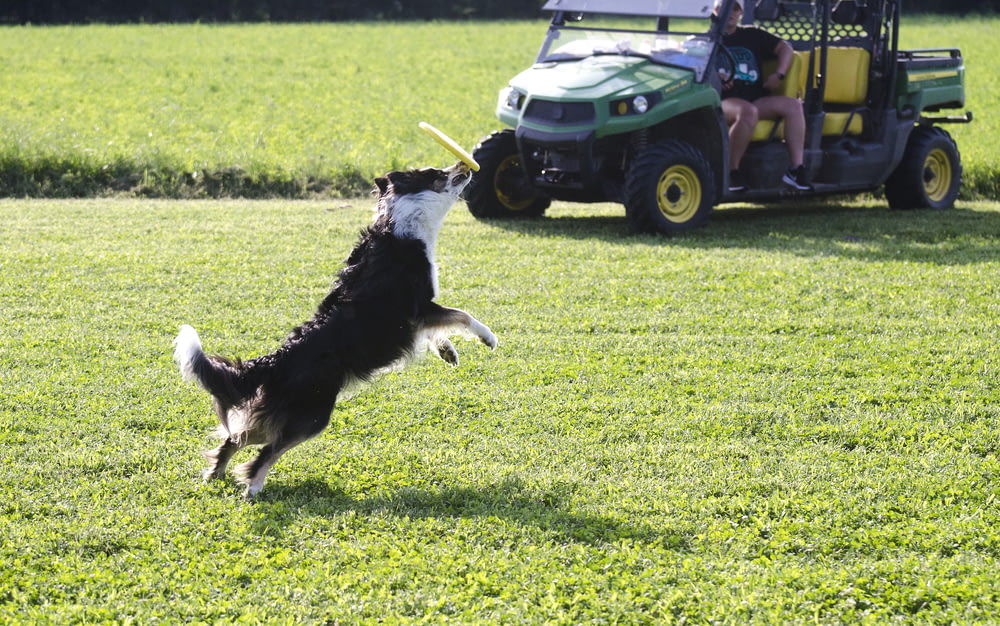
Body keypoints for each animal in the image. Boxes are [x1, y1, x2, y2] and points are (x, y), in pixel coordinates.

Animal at [178, 162, 498, 498]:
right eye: (437, 172)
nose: (465, 164)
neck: (402, 222)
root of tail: (277, 360)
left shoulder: (419, 318)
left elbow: (440, 330)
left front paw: (448, 351)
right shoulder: (420, 308)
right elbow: (462, 315)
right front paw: (488, 337)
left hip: (278, 414)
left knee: (235, 438)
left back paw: (214, 474)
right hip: (312, 415)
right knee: (266, 452)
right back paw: (252, 487)